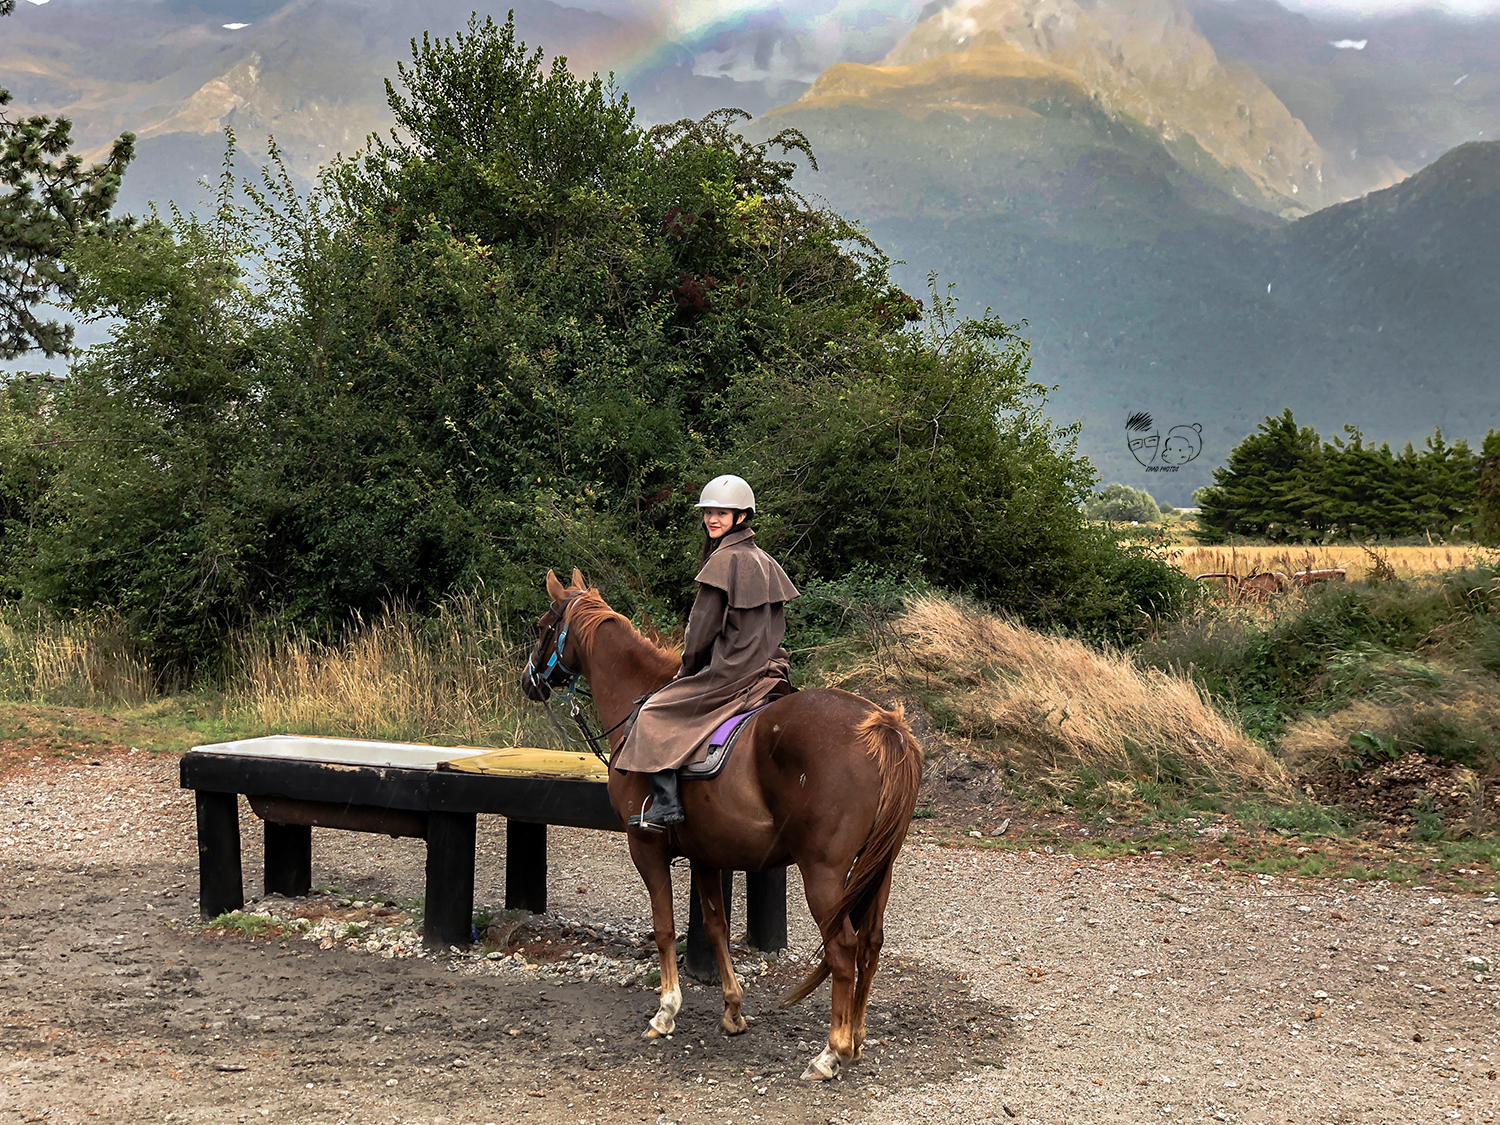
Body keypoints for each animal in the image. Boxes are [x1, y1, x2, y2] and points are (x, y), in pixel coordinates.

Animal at [525, 573, 924, 1086]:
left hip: (825, 874)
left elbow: (664, 927)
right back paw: (854, 1037)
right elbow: (715, 926)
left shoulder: (645, 846)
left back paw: (831, 1052)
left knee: (843, 948)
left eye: (543, 626)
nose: (529, 680)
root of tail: (884, 724)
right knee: (871, 944)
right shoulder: (706, 854)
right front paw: (733, 1010)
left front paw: (666, 1011)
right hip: (879, 868)